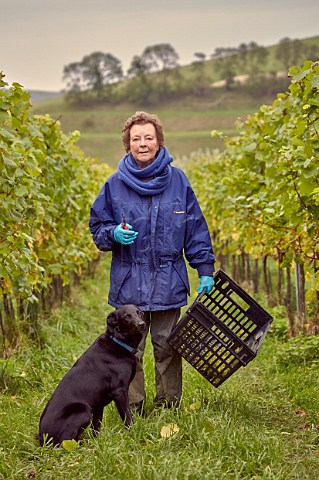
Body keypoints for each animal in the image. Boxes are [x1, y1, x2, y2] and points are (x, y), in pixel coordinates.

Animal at [37, 304, 146, 446]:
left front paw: (97, 443)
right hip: (83, 410)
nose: (142, 324)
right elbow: (127, 416)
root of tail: (42, 438)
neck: (118, 343)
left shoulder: (98, 405)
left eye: (140, 313)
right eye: (127, 316)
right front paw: (132, 434)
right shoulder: (119, 392)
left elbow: (96, 427)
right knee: (62, 443)